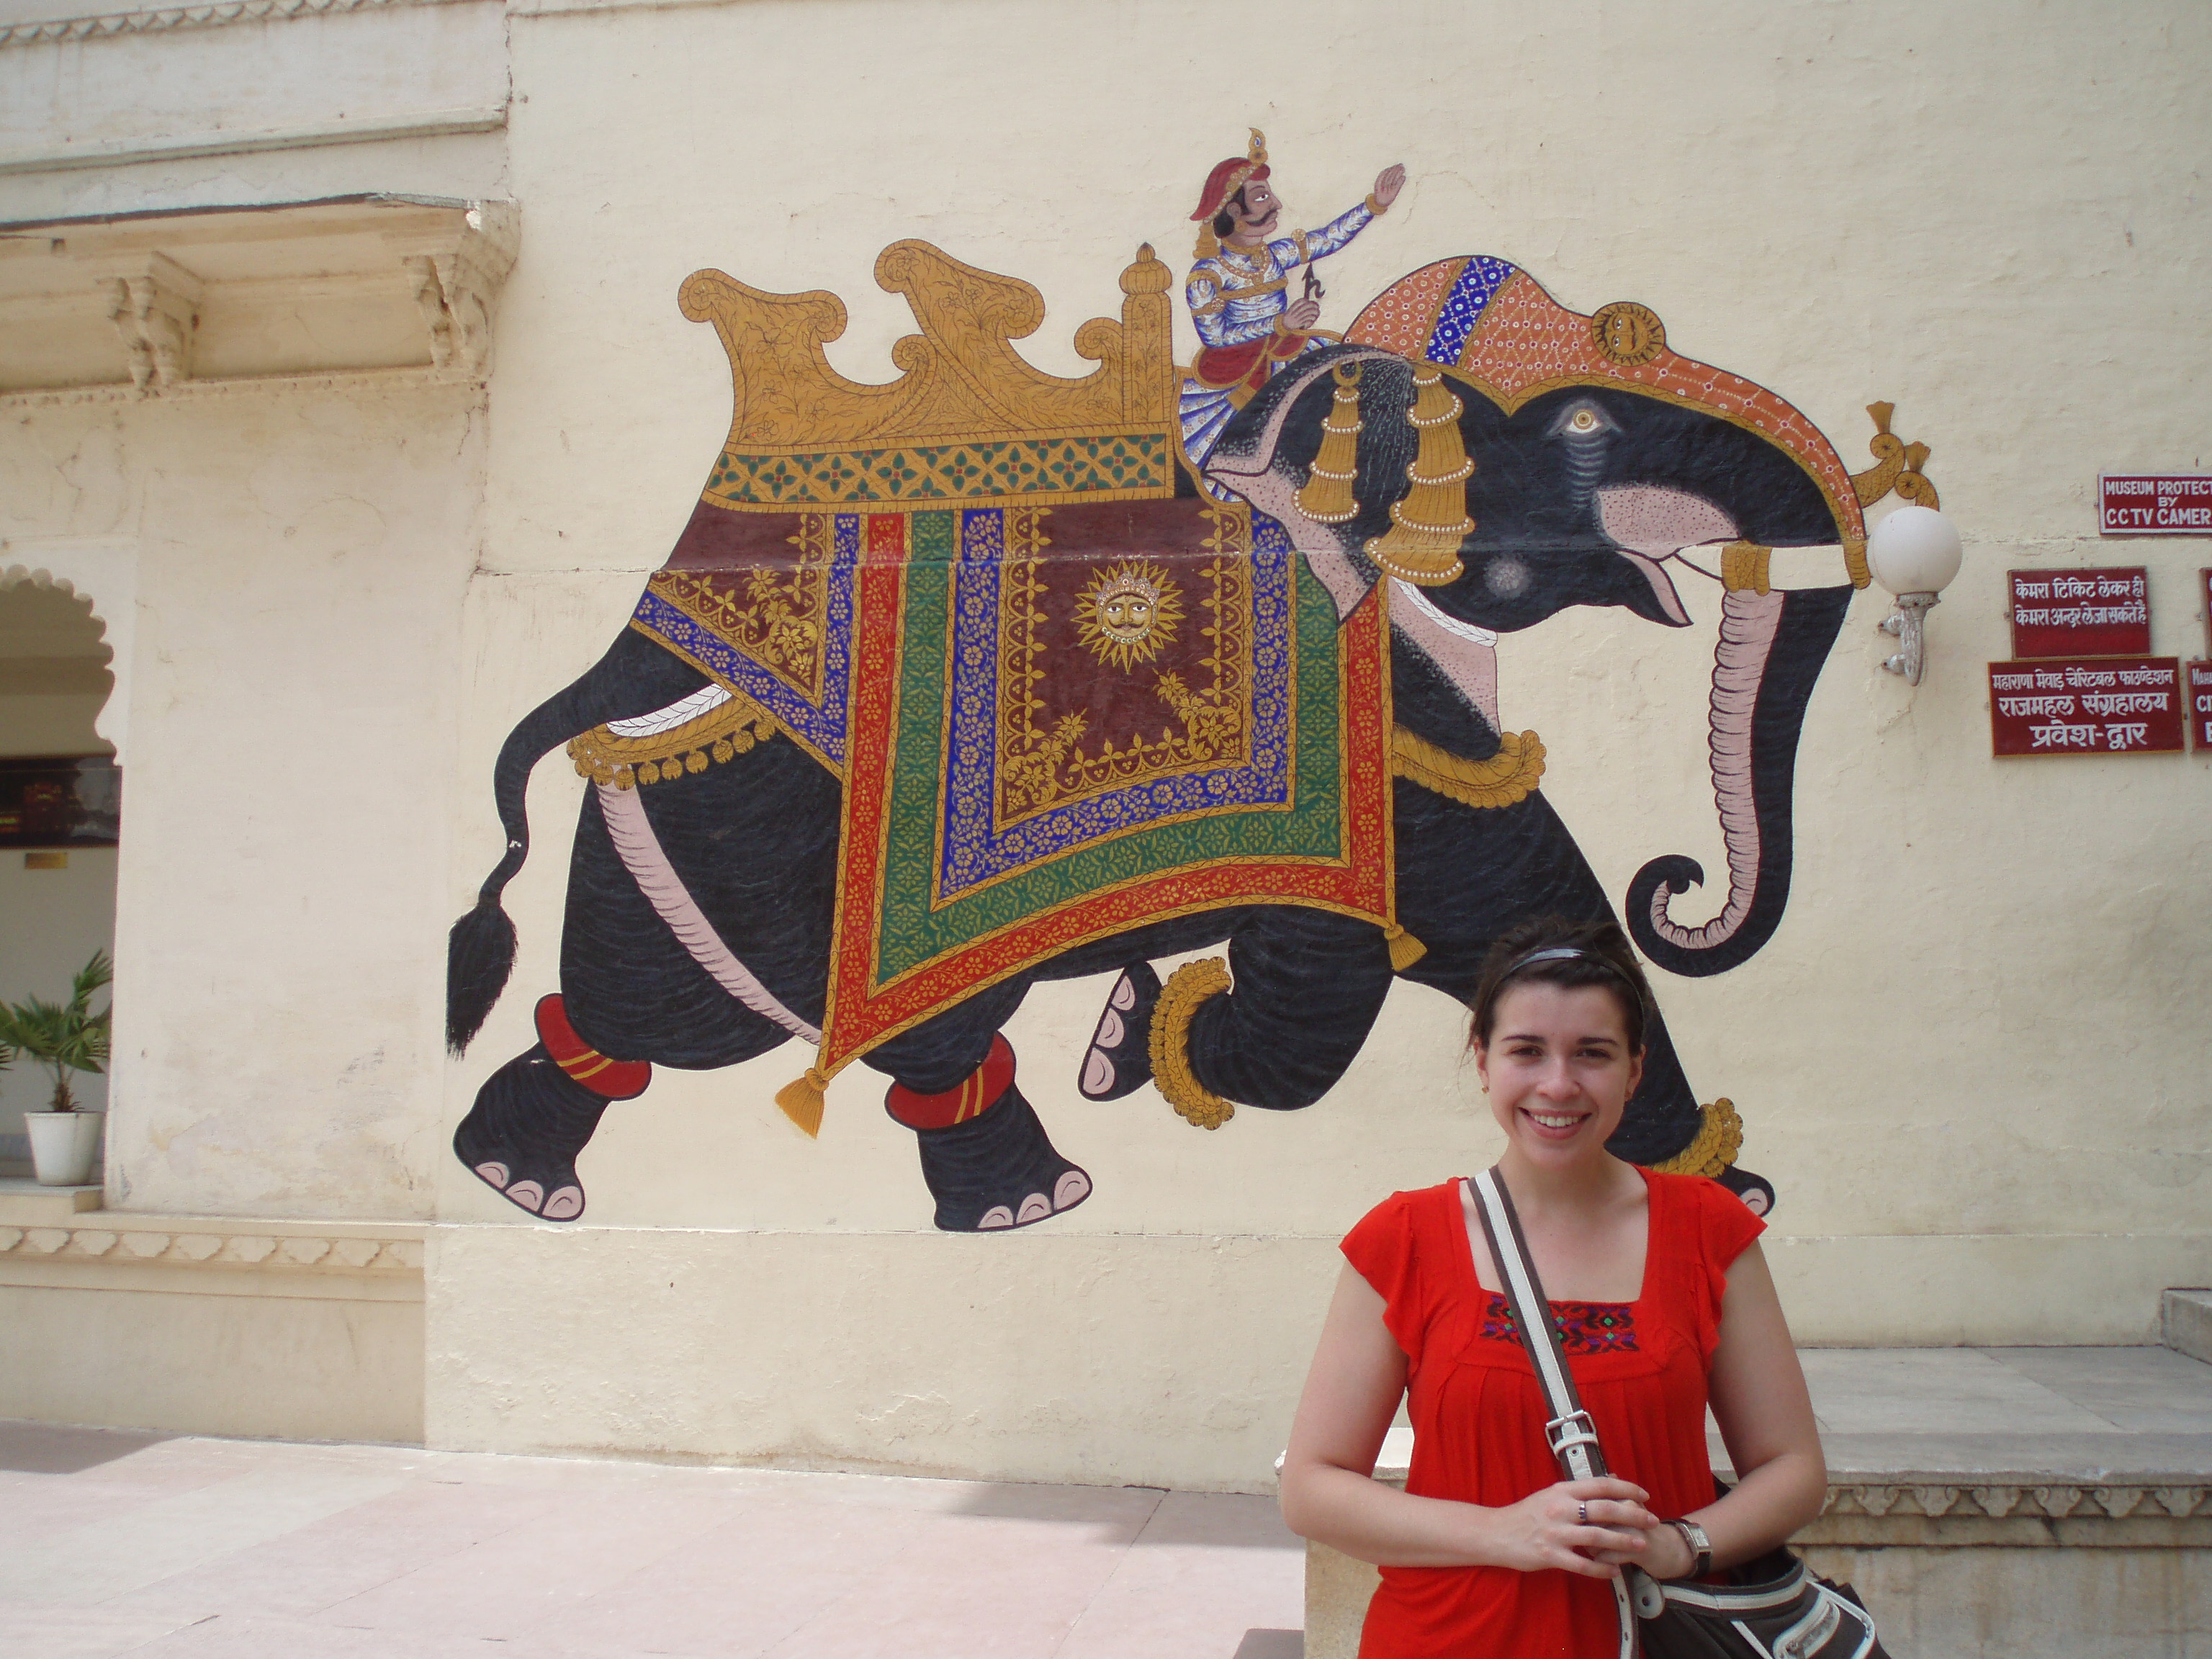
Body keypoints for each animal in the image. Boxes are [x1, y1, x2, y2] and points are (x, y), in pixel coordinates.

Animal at [446, 268, 1858, 1233]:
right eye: (1583, 427)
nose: (1677, 880)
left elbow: (1529, 913)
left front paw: (1725, 1196)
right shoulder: (1365, 734)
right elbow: (1349, 957)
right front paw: (1149, 1035)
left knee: (663, 1017)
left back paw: (516, 1174)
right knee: (852, 1033)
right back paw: (1027, 1198)